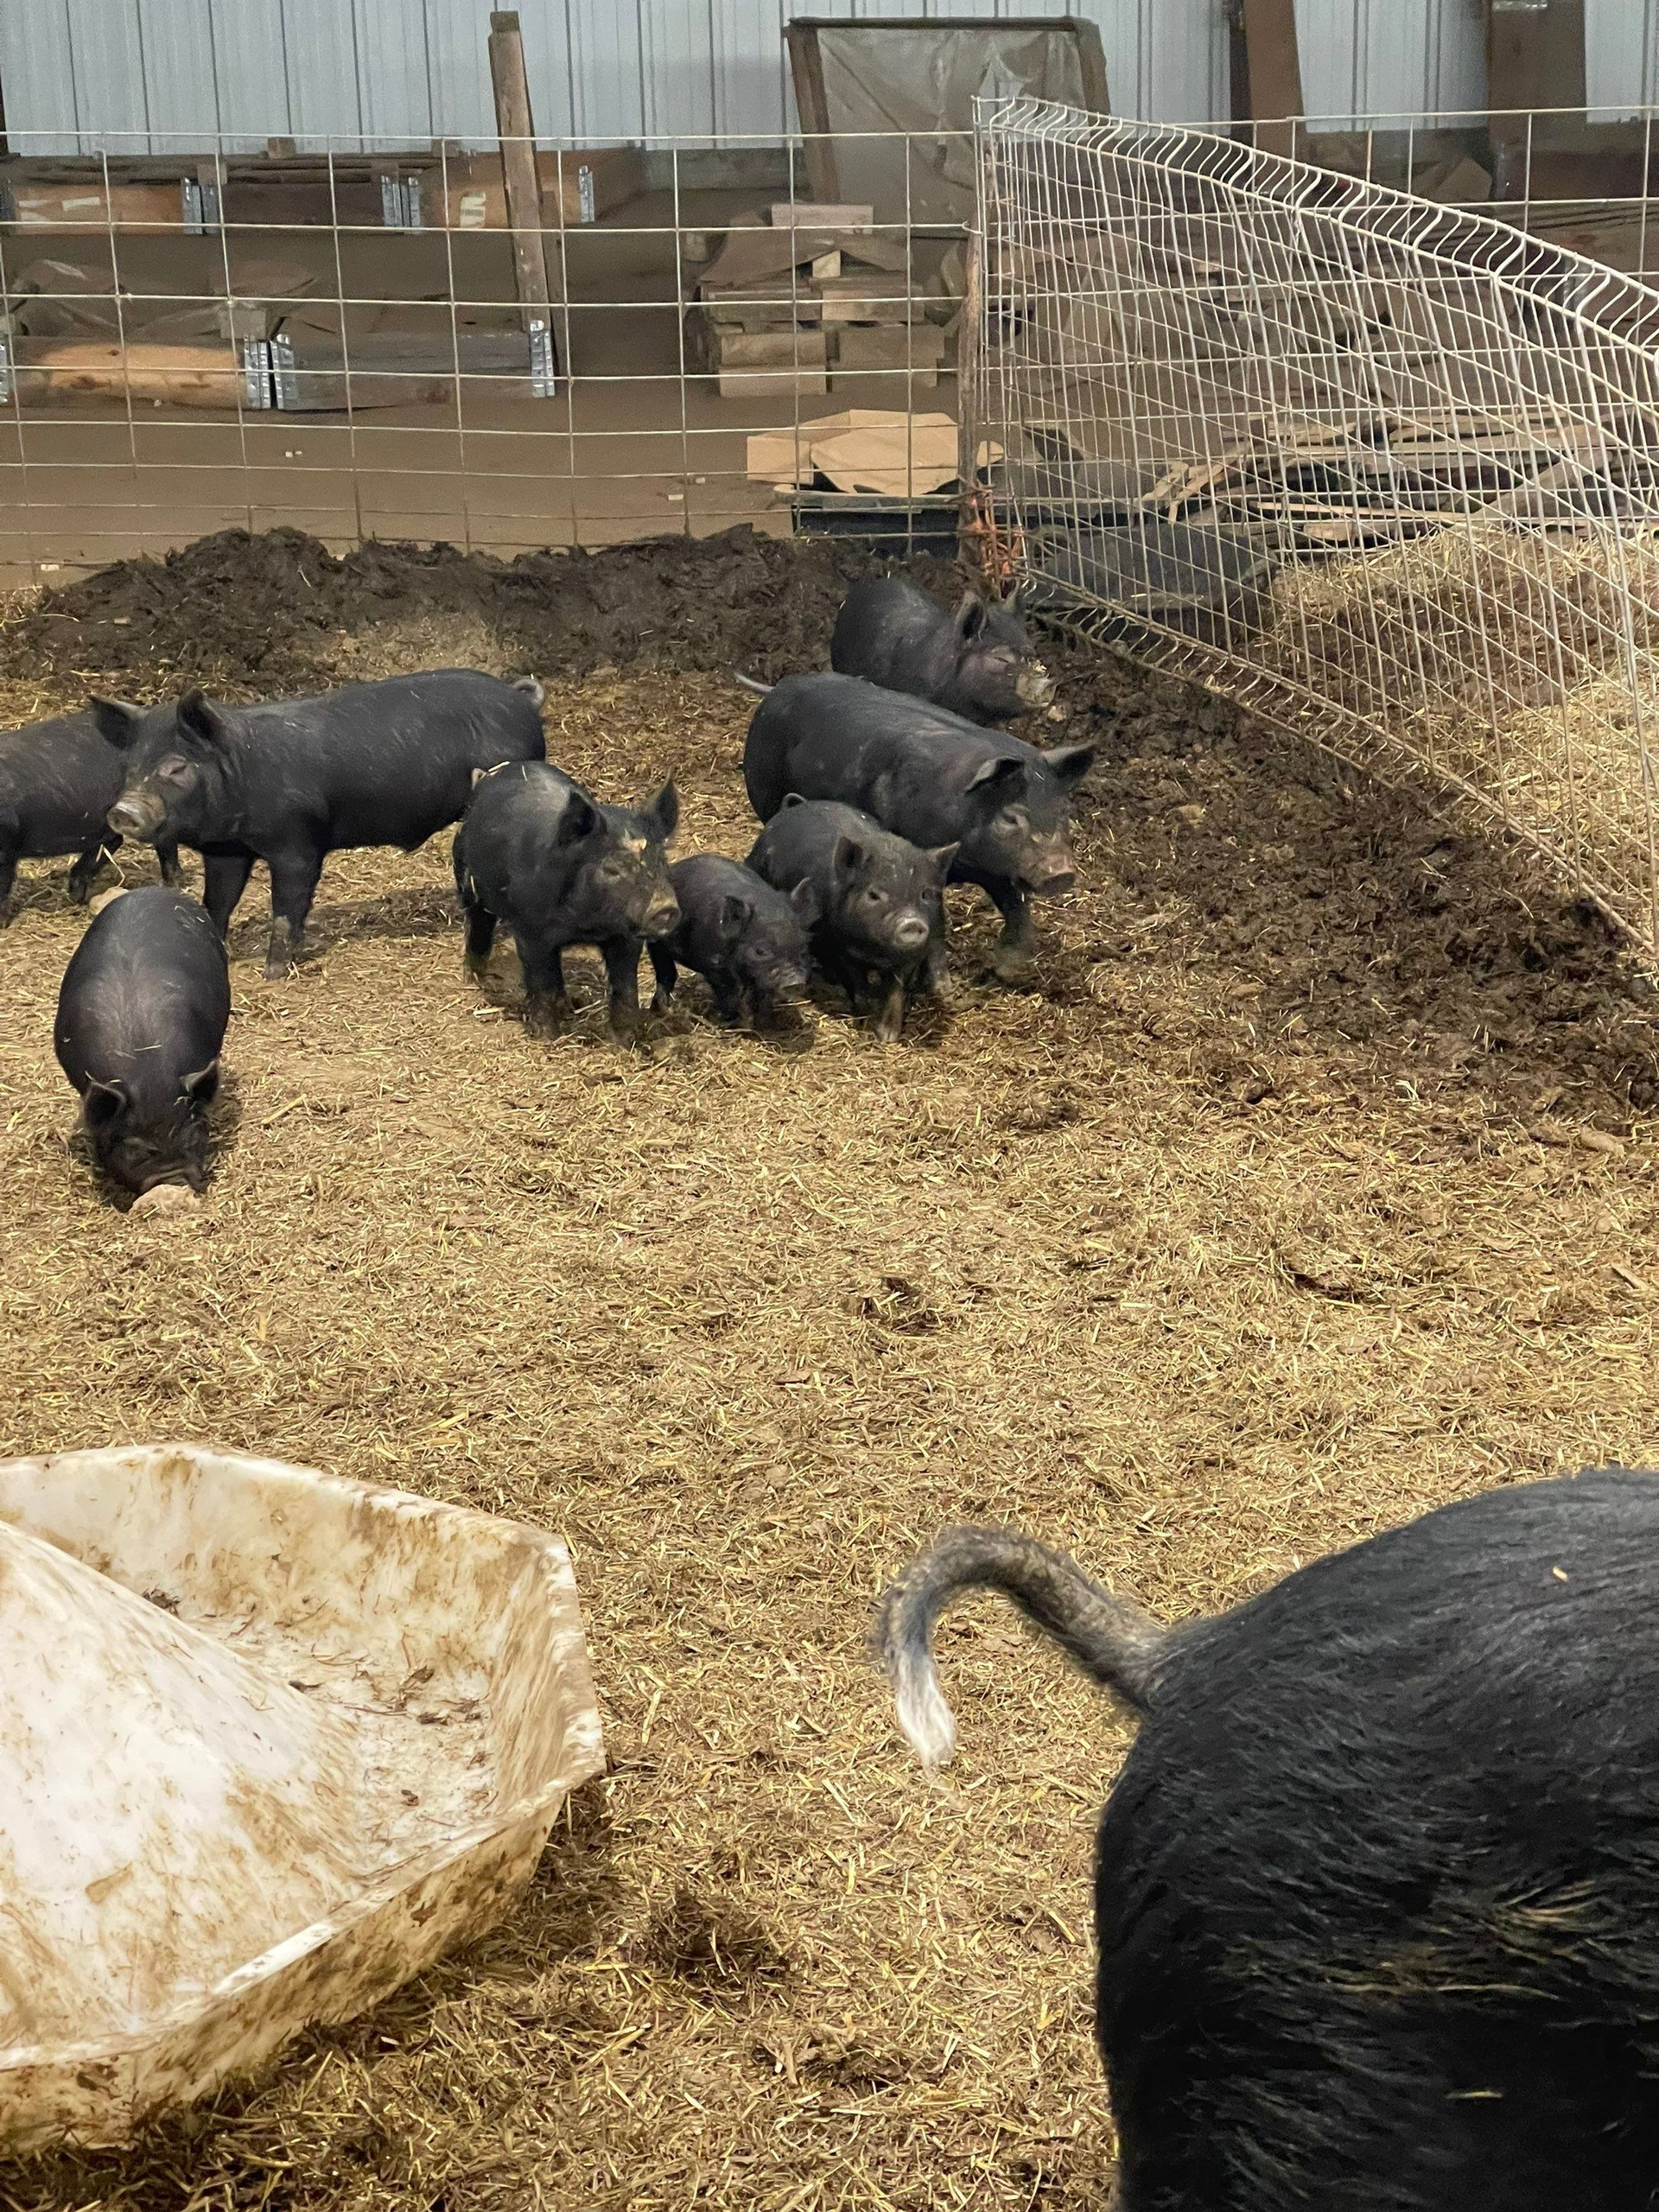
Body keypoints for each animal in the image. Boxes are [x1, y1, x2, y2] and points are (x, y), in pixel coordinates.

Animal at [93, 669, 546, 977]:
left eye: (176, 767)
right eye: (131, 766)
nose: (123, 811)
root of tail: (521, 701)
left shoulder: (297, 844)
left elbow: (288, 907)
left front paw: (274, 974)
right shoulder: (228, 851)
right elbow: (217, 903)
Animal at [453, 759, 679, 1040]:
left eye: (662, 861)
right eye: (611, 869)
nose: (665, 907)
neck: (586, 925)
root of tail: (488, 775)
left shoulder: (626, 936)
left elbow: (626, 987)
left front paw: (626, 1040)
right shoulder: (529, 930)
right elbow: (540, 981)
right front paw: (546, 1037)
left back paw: (568, 1006)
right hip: (467, 879)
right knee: (478, 924)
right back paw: (473, 979)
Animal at [648, 854, 817, 1028]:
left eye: (803, 949)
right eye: (761, 951)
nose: (795, 982)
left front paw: (763, 1020)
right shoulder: (714, 965)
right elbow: (728, 992)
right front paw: (733, 1022)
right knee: (665, 970)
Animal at [743, 674, 1093, 980]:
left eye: (1064, 810)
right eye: (1011, 818)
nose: (1061, 872)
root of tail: (780, 686)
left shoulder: (997, 869)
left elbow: (1015, 905)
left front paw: (1009, 971)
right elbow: (936, 919)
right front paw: (943, 985)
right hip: (762, 786)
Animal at [746, 797, 954, 1043]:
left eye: (925, 894)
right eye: (874, 895)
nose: (911, 921)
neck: (878, 953)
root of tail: (791, 807)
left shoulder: (911, 956)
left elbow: (897, 990)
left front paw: (888, 1036)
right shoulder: (838, 947)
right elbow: (857, 985)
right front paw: (864, 1022)